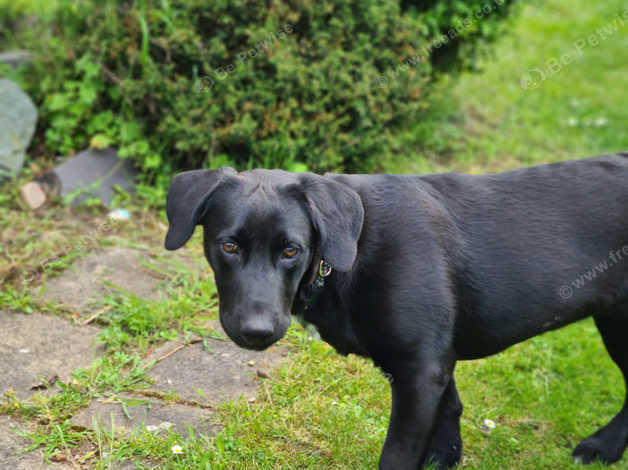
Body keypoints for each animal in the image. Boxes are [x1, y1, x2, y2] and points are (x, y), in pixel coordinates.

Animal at [163, 153, 628, 466]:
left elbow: (397, 456)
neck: (348, 251)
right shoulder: (432, 360)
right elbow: (450, 406)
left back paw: (602, 446)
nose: (256, 332)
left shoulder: (419, 369)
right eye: (229, 245)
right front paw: (446, 456)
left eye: (291, 250)